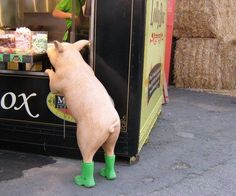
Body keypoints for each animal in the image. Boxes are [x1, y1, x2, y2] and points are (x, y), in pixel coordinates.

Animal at [45, 40, 121, 188]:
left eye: (54, 47)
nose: (47, 44)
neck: (72, 60)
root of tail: (111, 124)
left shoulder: (59, 81)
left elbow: (53, 85)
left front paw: (47, 71)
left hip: (87, 136)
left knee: (88, 158)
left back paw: (82, 181)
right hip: (114, 135)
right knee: (110, 153)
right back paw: (107, 175)